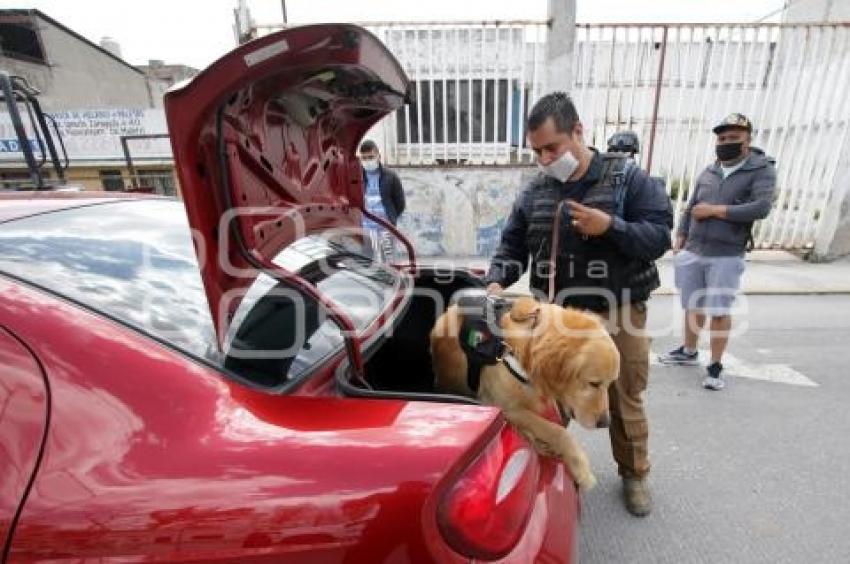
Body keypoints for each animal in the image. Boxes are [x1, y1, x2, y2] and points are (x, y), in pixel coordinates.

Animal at [430, 296, 616, 490]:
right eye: (594, 383)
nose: (605, 422)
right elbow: (556, 430)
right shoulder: (506, 407)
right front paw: (582, 469)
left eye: (611, 383)